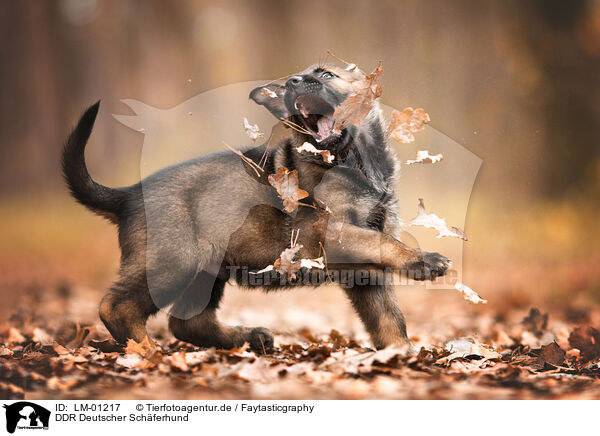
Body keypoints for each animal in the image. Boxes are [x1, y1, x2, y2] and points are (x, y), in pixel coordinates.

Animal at [63, 63, 450, 352]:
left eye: (326, 74)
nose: (292, 83)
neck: (353, 162)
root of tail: (128, 193)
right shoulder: (336, 233)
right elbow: (385, 245)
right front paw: (425, 260)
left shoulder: (365, 271)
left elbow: (388, 319)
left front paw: (402, 355)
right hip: (172, 262)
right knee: (118, 308)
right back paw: (145, 352)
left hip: (207, 270)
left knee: (187, 322)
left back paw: (249, 337)